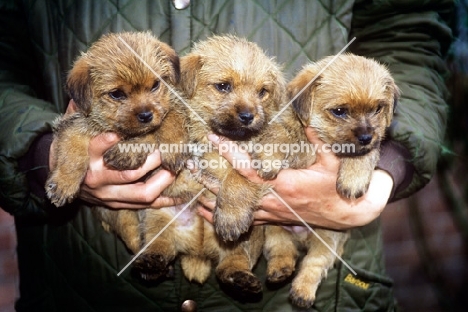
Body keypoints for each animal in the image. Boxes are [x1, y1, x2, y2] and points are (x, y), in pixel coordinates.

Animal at [256, 53, 398, 308]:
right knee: (282, 249)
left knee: (312, 266)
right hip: (273, 229)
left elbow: (363, 155)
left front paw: (353, 179)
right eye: (340, 111)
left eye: (377, 109)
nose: (365, 136)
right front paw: (269, 161)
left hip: (326, 241)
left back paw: (302, 292)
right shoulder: (283, 124)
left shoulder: (370, 146)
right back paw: (279, 270)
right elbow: (277, 136)